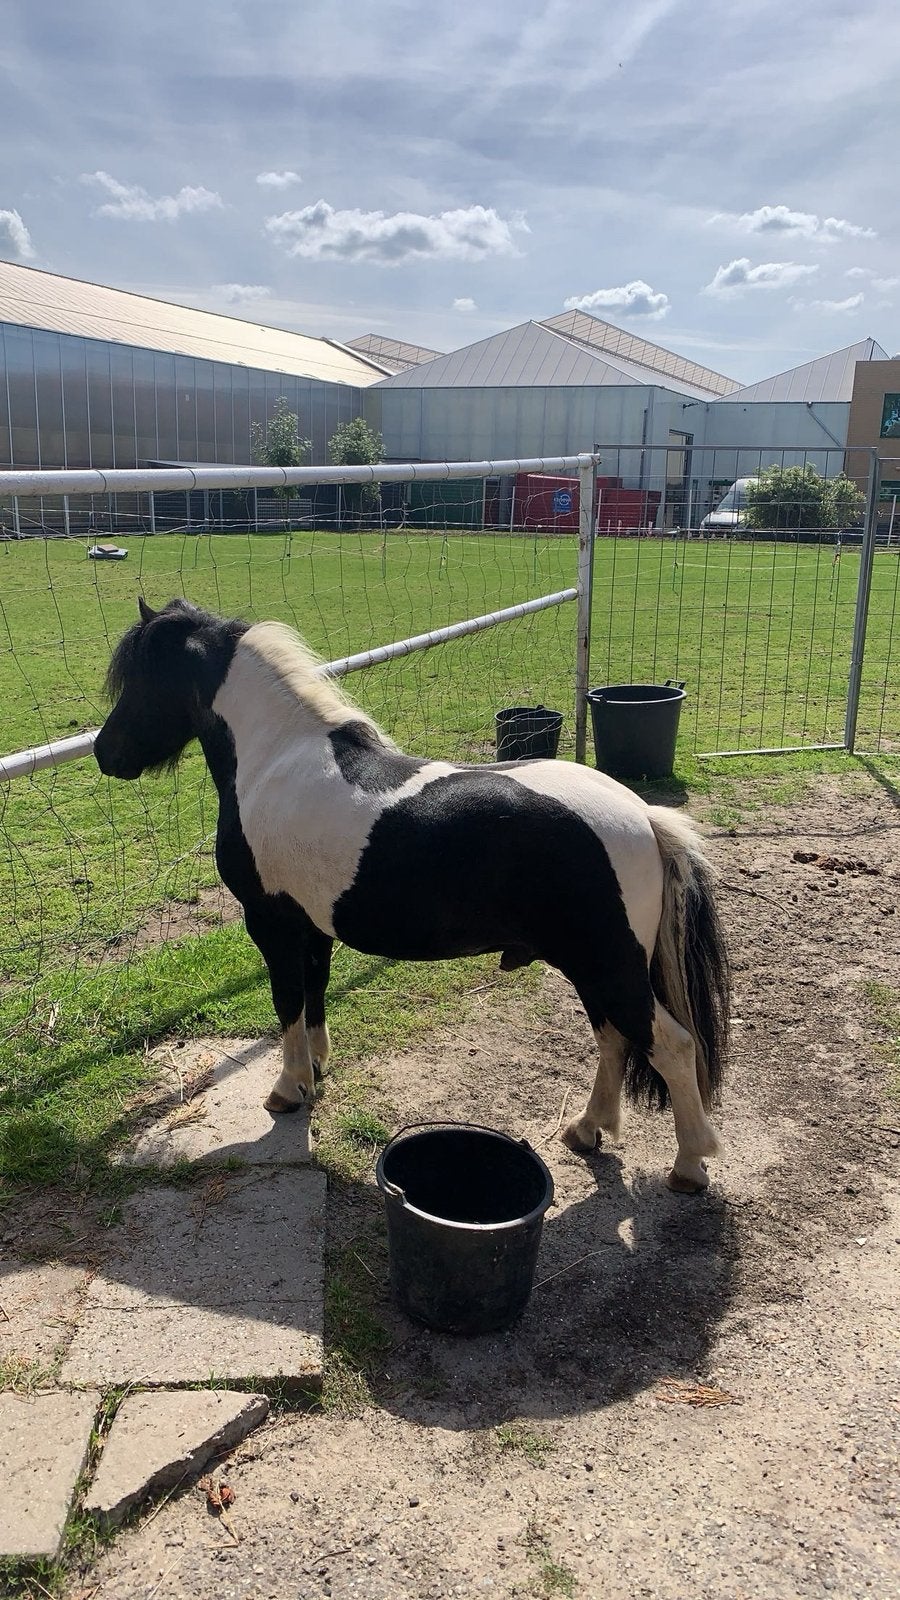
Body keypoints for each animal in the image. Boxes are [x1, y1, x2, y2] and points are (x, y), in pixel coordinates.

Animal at [95, 597, 729, 1193]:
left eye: (142, 680)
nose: (105, 753)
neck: (275, 756)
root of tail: (644, 817)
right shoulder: (312, 926)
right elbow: (314, 992)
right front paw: (316, 1071)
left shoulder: (271, 923)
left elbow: (287, 1001)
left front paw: (287, 1090)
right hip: (594, 966)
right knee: (615, 1040)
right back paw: (586, 1130)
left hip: (608, 965)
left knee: (671, 1046)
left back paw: (689, 1165)